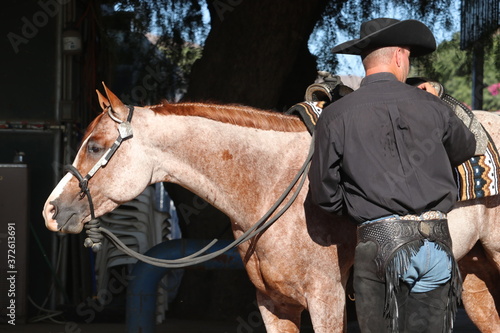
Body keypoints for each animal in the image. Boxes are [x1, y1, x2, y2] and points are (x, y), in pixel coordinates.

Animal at [43, 84, 500, 330]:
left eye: (96, 146)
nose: (51, 210)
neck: (273, 183)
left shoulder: (328, 300)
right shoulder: (273, 304)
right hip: (473, 275)